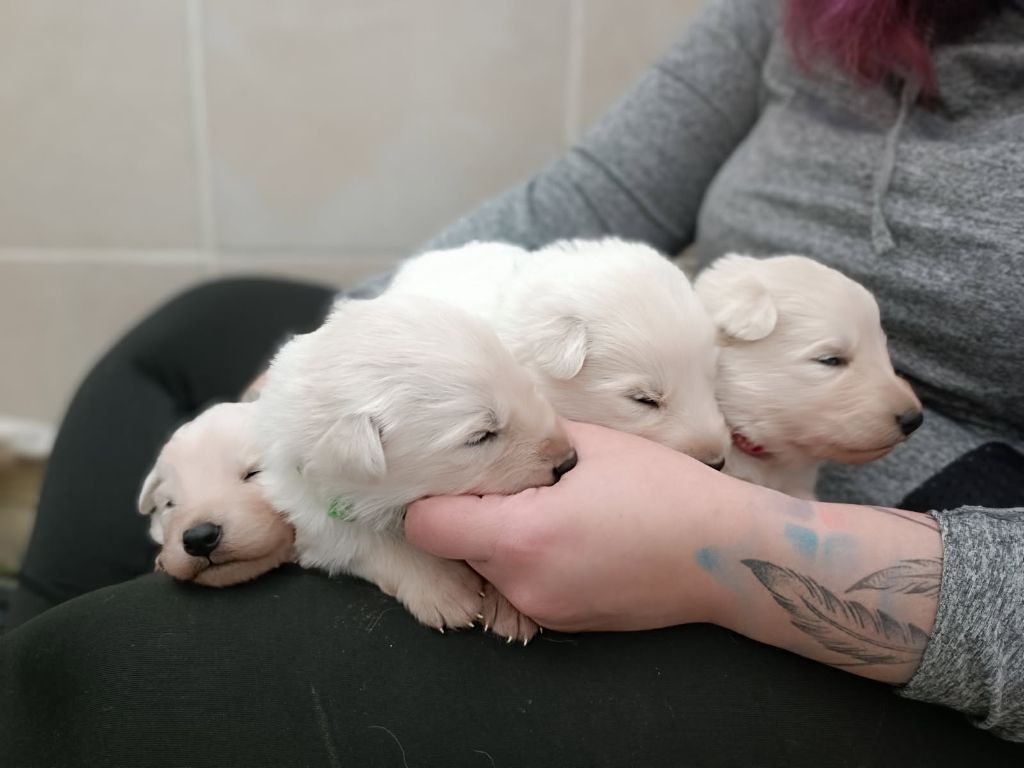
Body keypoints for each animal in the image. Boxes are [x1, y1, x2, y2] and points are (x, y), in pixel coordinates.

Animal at [256, 294, 577, 643]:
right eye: (480, 436)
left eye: (527, 386)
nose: (569, 460)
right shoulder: (307, 506)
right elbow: (362, 538)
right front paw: (445, 591)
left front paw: (510, 606)